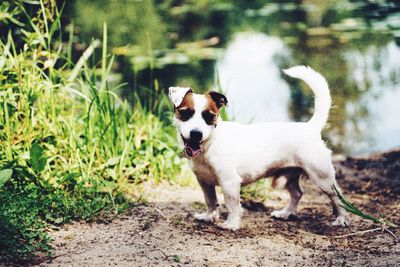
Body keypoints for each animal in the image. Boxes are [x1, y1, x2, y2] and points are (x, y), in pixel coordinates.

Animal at [169, 66, 350, 231]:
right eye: (186, 113)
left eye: (209, 116)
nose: (196, 133)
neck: (210, 143)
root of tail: (310, 127)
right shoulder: (204, 182)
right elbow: (210, 201)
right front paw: (209, 216)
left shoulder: (229, 183)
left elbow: (232, 206)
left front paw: (231, 224)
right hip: (290, 174)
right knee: (297, 193)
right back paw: (286, 213)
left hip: (322, 177)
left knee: (337, 197)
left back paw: (342, 218)